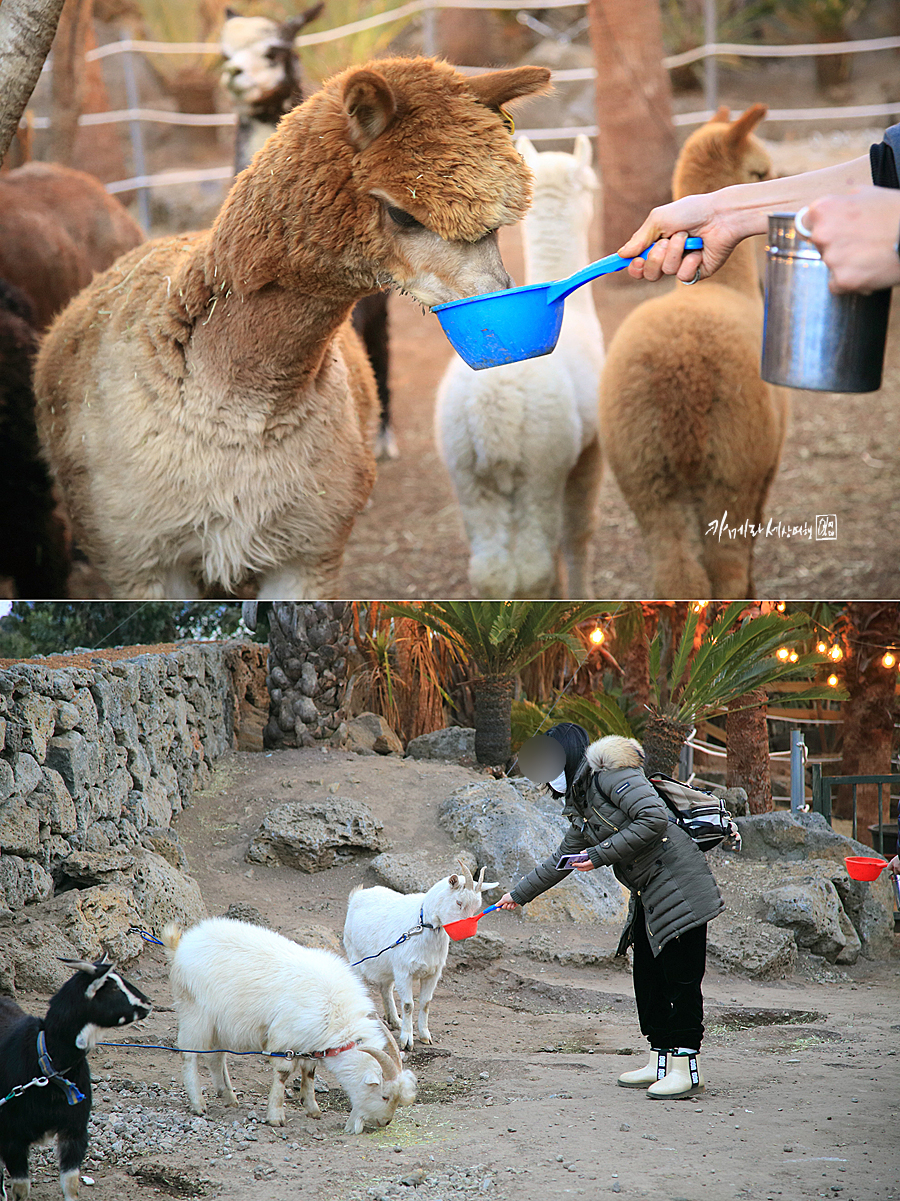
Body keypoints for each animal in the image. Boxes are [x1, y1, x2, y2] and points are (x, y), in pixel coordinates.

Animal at [0, 960, 150, 1201]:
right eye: (113, 987)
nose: (148, 1003)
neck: (50, 1070)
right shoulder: (12, 1137)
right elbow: (22, 1190)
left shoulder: (75, 1130)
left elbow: (71, 1184)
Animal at [161, 917, 413, 1133]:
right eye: (384, 1096)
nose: (385, 1122)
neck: (333, 1007)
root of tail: (181, 946)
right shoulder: (285, 1038)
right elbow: (282, 1074)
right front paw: (275, 1116)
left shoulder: (310, 1041)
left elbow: (309, 1072)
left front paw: (312, 1108)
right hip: (195, 1012)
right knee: (189, 1055)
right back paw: (198, 1104)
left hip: (220, 1024)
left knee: (216, 1056)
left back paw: (229, 1097)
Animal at [343, 859, 497, 1047]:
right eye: (459, 902)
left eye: (477, 906)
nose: (468, 932)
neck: (422, 924)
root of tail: (358, 894)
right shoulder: (404, 972)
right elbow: (409, 1005)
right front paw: (406, 1040)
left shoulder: (432, 973)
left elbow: (425, 1003)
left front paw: (425, 1035)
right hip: (355, 956)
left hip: (387, 966)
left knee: (385, 988)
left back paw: (395, 1020)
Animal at [434, 137, 603, 600]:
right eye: (593, 186)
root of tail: (493, 405)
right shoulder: (588, 451)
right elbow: (578, 534)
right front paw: (581, 594)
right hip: (540, 466)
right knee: (534, 565)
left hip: (466, 472)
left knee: (490, 571)